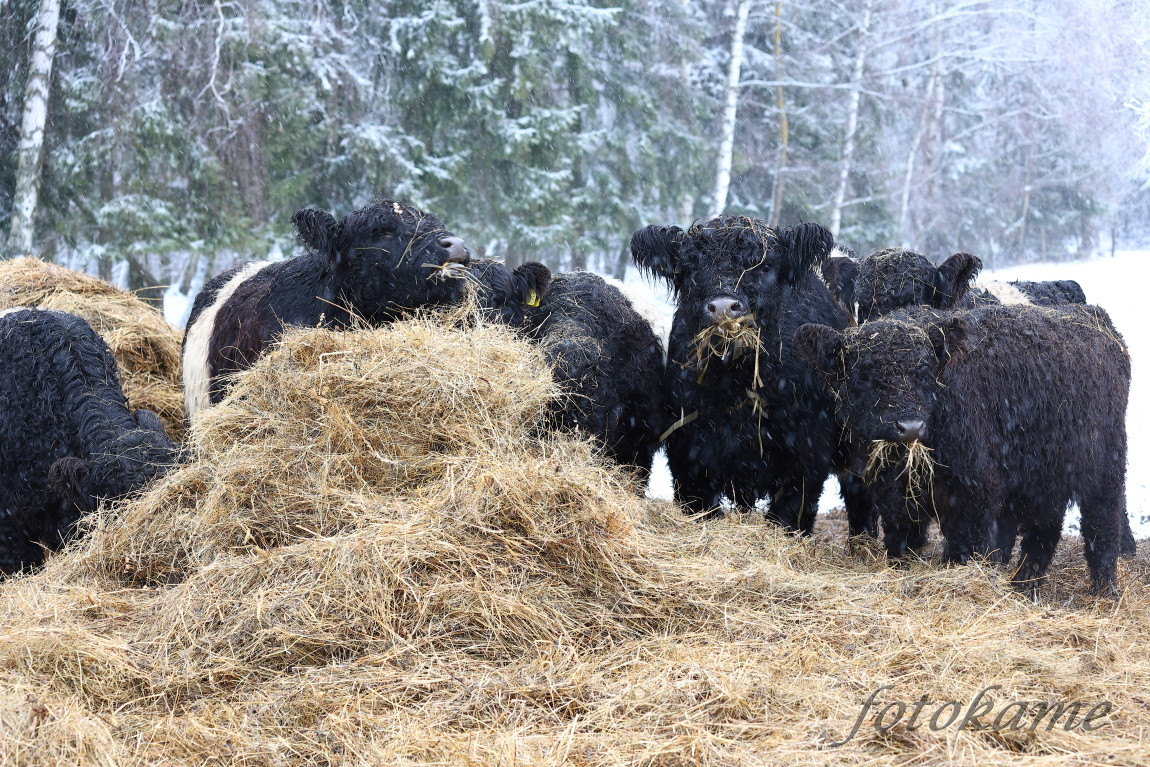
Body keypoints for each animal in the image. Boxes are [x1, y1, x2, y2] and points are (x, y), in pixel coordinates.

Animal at [634, 212, 864, 531]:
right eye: (690, 268)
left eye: (764, 267)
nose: (722, 308)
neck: (737, 384)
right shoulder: (688, 453)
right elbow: (701, 508)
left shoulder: (808, 455)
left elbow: (789, 517)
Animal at [795, 303, 1127, 597]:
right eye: (864, 375)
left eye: (925, 371)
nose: (910, 426)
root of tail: (1095, 317)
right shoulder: (894, 494)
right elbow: (901, 542)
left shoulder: (973, 492)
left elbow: (966, 548)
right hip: (1045, 473)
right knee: (1045, 529)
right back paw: (1024, 587)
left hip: (1105, 465)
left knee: (1102, 527)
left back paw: (1104, 593)